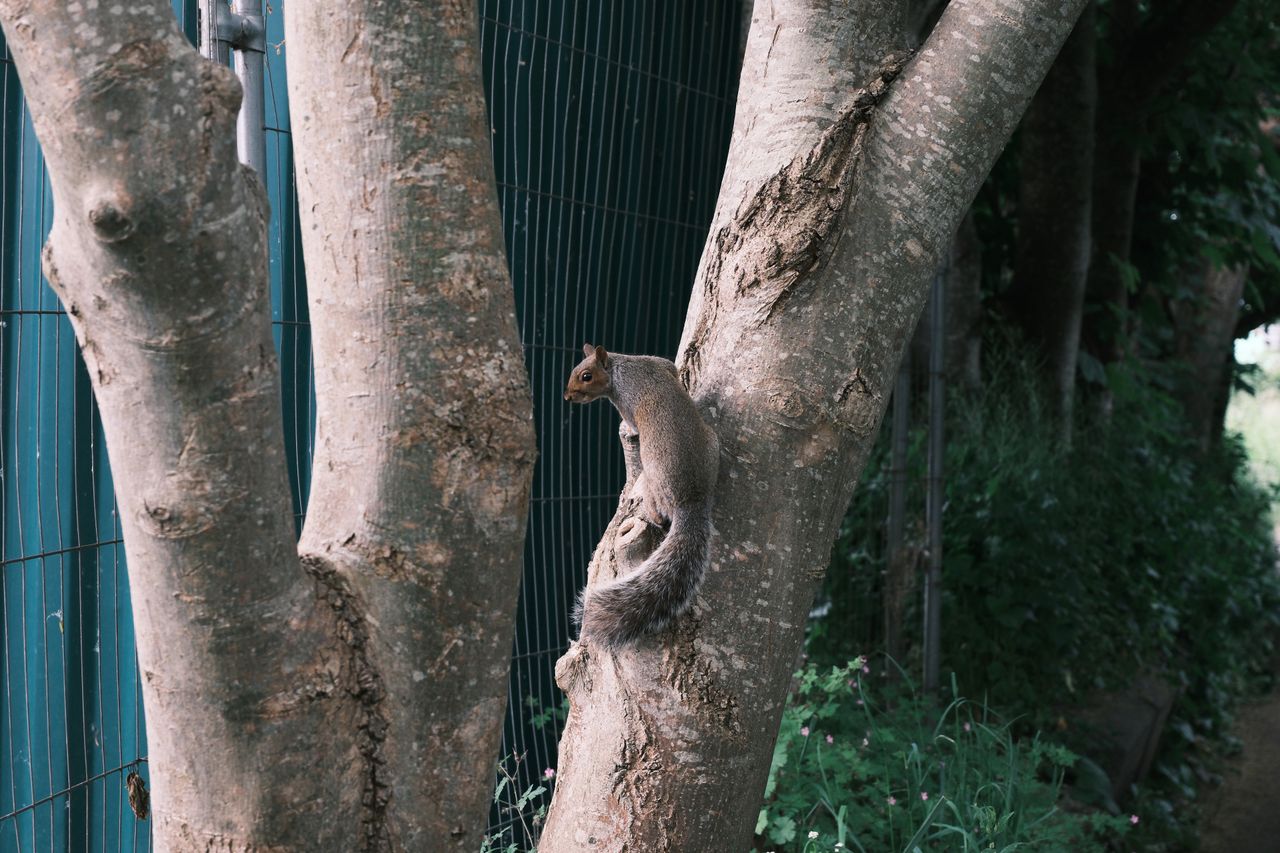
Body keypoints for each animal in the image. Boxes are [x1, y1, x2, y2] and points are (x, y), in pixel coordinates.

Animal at [563, 344, 719, 647]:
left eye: (586, 376)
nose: (567, 396)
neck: (621, 368)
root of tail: (692, 499)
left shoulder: (626, 405)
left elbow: (632, 424)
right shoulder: (659, 363)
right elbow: (672, 368)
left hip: (651, 483)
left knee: (658, 515)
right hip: (713, 444)